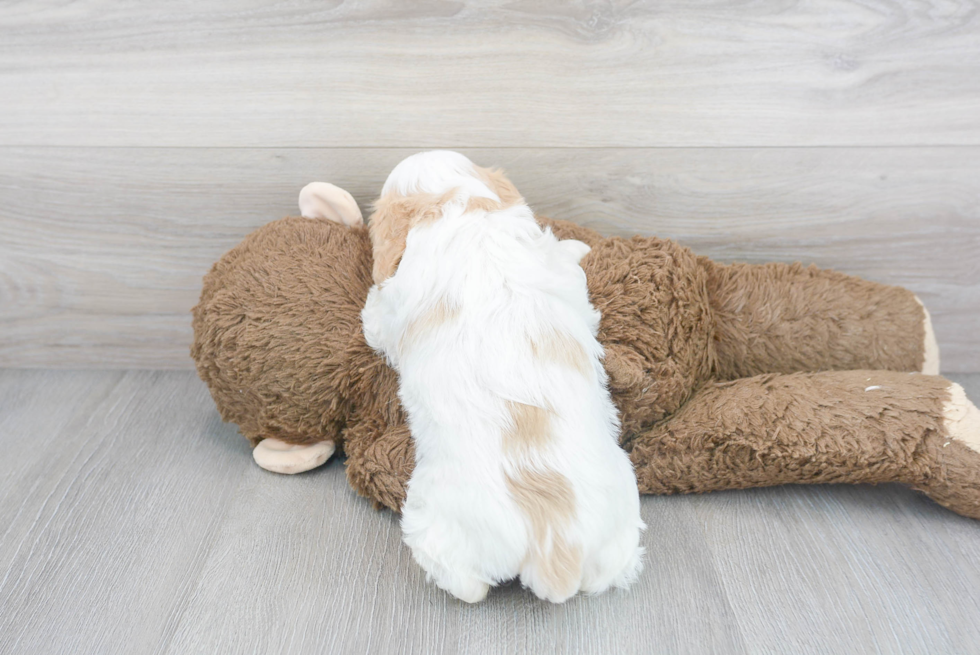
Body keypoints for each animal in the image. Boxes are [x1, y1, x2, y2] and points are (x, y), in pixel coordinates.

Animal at [360, 151, 644, 604]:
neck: (463, 205)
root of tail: (555, 543)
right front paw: (577, 247)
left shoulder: (391, 311)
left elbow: (375, 317)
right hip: (616, 534)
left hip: (438, 524)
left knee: (466, 584)